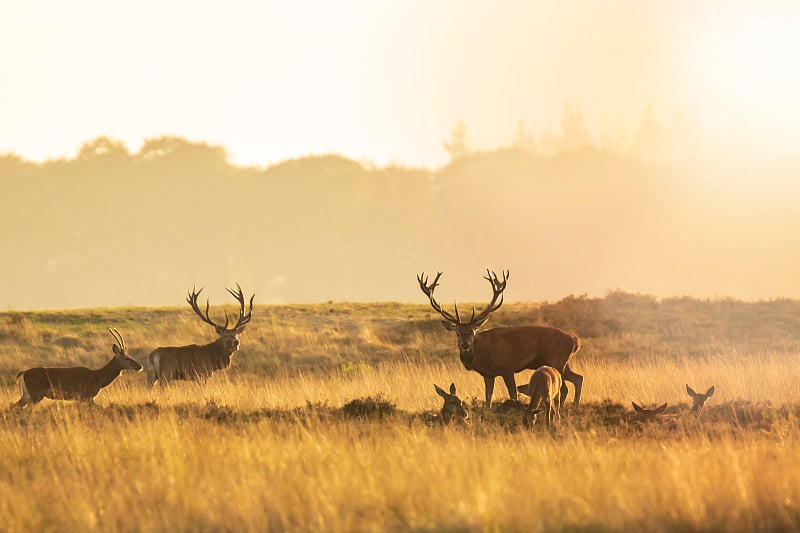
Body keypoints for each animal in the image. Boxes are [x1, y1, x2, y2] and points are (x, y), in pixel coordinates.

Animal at [13, 326, 141, 406]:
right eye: (126, 357)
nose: (139, 366)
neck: (98, 378)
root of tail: (23, 372)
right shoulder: (86, 396)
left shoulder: (84, 398)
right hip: (35, 394)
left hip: (27, 394)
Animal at [418, 270, 580, 408]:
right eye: (457, 333)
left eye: (473, 332)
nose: (465, 345)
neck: (483, 354)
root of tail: (575, 340)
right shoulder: (488, 374)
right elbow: (488, 398)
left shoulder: (508, 367)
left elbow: (513, 394)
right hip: (564, 362)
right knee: (578, 379)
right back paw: (575, 405)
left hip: (557, 360)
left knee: (565, 388)